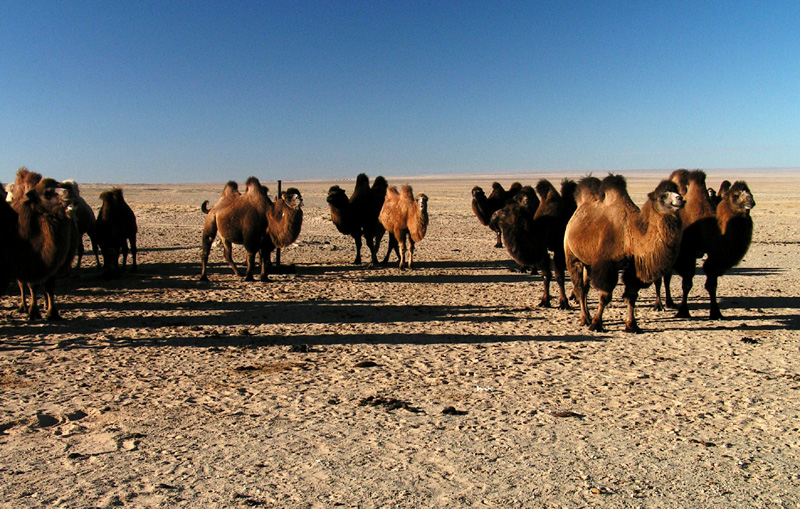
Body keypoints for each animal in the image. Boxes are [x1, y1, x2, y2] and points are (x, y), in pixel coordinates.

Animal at [564, 175, 688, 334]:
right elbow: (605, 296)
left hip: (588, 261)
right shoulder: (607, 265)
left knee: (585, 288)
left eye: (676, 191)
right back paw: (585, 319)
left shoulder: (634, 266)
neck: (630, 235)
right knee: (579, 287)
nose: (680, 198)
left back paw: (587, 316)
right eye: (662, 196)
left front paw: (632, 325)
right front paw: (596, 324)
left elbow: (631, 295)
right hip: (572, 254)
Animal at [660, 171, 752, 318]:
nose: (751, 201)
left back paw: (670, 303)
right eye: (736, 195)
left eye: (751, 193)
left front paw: (716, 313)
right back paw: (667, 303)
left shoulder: (715, 255)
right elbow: (687, 283)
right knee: (667, 276)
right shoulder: (687, 253)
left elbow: (712, 284)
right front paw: (683, 311)